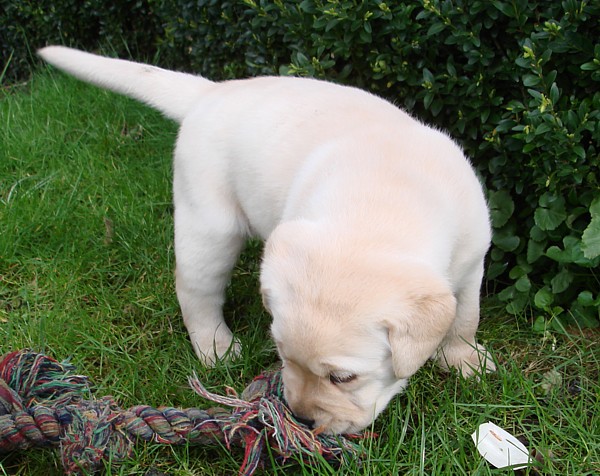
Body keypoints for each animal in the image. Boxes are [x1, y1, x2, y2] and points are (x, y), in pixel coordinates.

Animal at [38, 47, 496, 436]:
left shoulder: (473, 259)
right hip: (209, 224)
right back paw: (216, 346)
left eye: (343, 377)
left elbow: (464, 315)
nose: (303, 419)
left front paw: (463, 360)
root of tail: (211, 91)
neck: (380, 205)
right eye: (282, 354)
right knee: (195, 290)